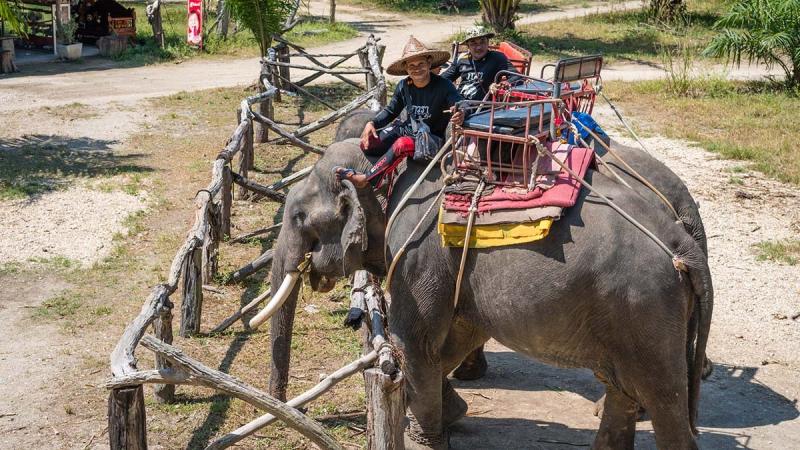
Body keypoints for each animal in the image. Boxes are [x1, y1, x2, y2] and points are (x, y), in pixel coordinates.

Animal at [265, 138, 713, 449]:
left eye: (299, 217)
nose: (294, 408)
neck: (389, 167)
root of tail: (683, 239)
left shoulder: (417, 252)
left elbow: (415, 343)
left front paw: (426, 438)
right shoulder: (453, 272)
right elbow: (455, 338)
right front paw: (455, 412)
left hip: (644, 310)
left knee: (664, 401)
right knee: (622, 389)